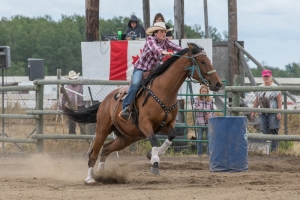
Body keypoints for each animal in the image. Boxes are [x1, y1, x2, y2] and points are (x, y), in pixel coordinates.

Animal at [62, 43, 223, 184]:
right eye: (202, 61)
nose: (218, 83)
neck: (163, 91)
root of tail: (104, 101)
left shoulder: (167, 124)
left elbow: (172, 136)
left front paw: (154, 154)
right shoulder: (145, 123)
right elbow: (154, 139)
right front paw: (155, 162)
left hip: (126, 138)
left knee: (106, 149)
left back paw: (102, 173)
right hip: (102, 129)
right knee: (93, 153)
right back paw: (90, 178)